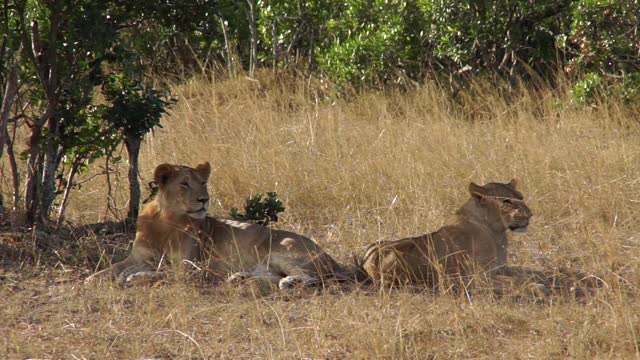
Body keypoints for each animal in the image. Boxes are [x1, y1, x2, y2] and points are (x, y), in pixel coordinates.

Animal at [87, 162, 348, 288]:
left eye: (203, 183)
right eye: (185, 184)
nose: (204, 199)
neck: (167, 221)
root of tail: (329, 256)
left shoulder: (192, 267)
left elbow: (164, 273)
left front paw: (136, 277)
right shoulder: (139, 256)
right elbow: (112, 268)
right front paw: (92, 279)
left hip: (282, 248)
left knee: (311, 277)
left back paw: (290, 282)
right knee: (269, 275)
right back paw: (240, 278)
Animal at [360, 179, 536, 292]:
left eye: (521, 197)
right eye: (507, 202)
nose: (530, 215)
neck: (496, 232)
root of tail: (367, 259)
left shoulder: (498, 270)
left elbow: (524, 276)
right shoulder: (476, 278)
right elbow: (518, 281)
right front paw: (535, 288)